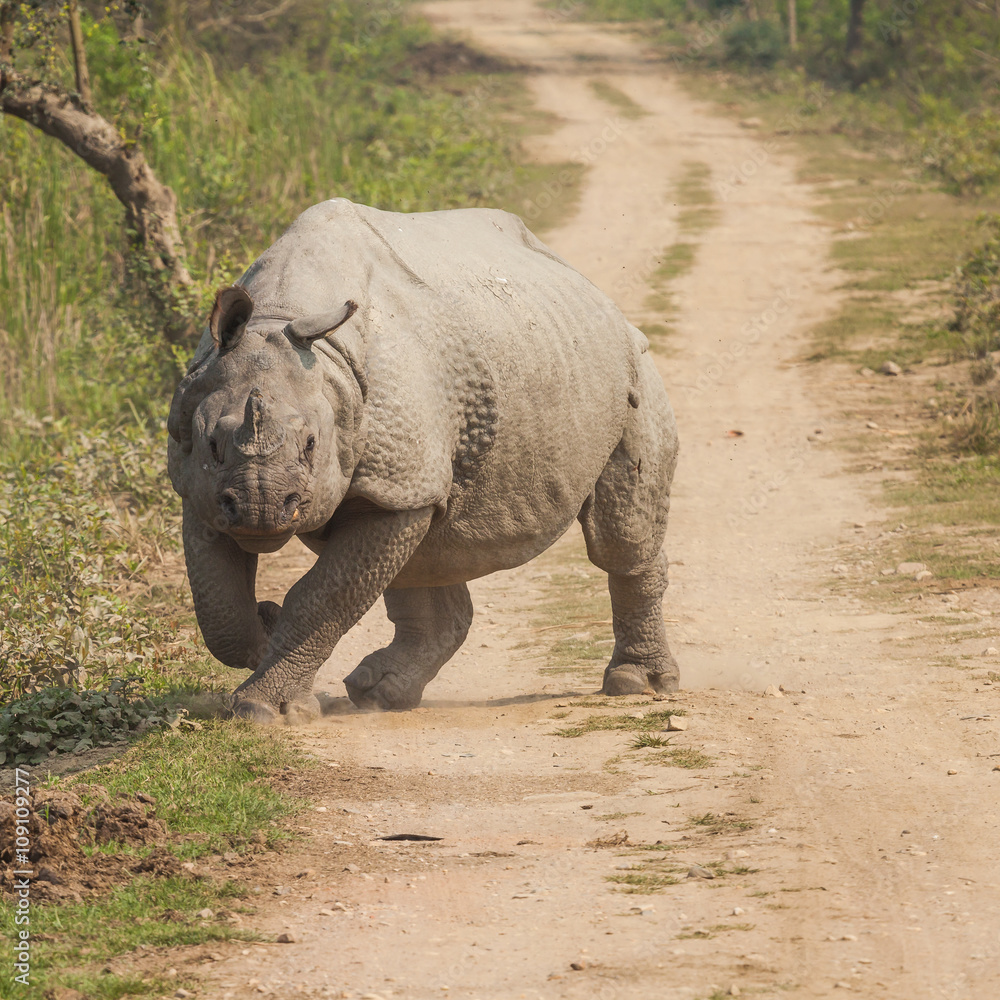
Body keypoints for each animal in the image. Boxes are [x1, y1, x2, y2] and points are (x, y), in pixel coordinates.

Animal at [167, 199, 680, 723]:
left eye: (311, 444)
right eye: (213, 446)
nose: (262, 509)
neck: (279, 318)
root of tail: (595, 292)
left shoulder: (397, 483)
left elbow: (320, 599)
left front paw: (265, 710)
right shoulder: (199, 487)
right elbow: (218, 609)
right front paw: (263, 631)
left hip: (631, 367)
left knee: (619, 535)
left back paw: (637, 684)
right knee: (431, 550)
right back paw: (379, 694)